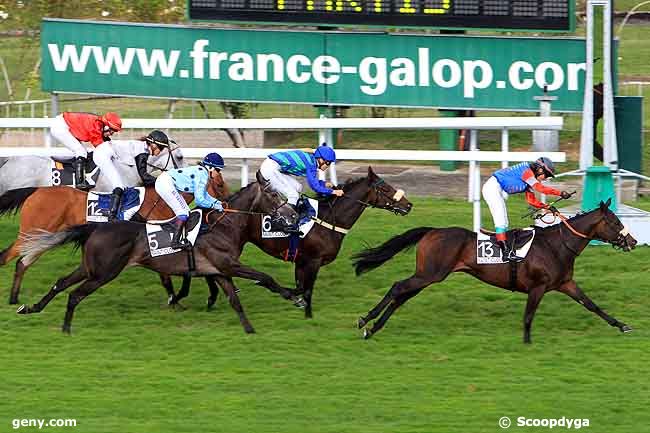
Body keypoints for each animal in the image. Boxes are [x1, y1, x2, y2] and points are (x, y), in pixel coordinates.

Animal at [0, 173, 228, 304]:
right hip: (31, 234)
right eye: (219, 185)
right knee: (6, 257)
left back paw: (14, 298)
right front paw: (176, 298)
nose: (224, 206)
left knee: (22, 263)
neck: (160, 199)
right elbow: (167, 274)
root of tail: (36, 190)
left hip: (41, 238)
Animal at [16, 179, 298, 334]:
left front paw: (250, 330)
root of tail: (95, 227)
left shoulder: (219, 271)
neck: (223, 226)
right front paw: (294, 296)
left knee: (61, 283)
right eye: (273, 195)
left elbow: (235, 301)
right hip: (104, 273)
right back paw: (65, 329)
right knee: (74, 294)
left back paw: (31, 308)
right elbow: (266, 277)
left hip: (90, 268)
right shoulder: (229, 265)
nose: (294, 214)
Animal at [170, 166, 412, 318]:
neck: (328, 220)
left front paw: (295, 300)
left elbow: (300, 287)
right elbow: (306, 289)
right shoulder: (313, 261)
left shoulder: (301, 261)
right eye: (385, 188)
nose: (408, 205)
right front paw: (307, 313)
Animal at [352, 199, 636, 344]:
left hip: (427, 276)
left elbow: (592, 305)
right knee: (398, 287)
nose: (632, 241)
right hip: (430, 274)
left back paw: (374, 328)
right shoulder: (538, 287)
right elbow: (528, 316)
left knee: (402, 296)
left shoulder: (565, 283)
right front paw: (527, 342)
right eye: (614, 222)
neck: (557, 245)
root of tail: (432, 231)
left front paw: (622, 325)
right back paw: (365, 322)